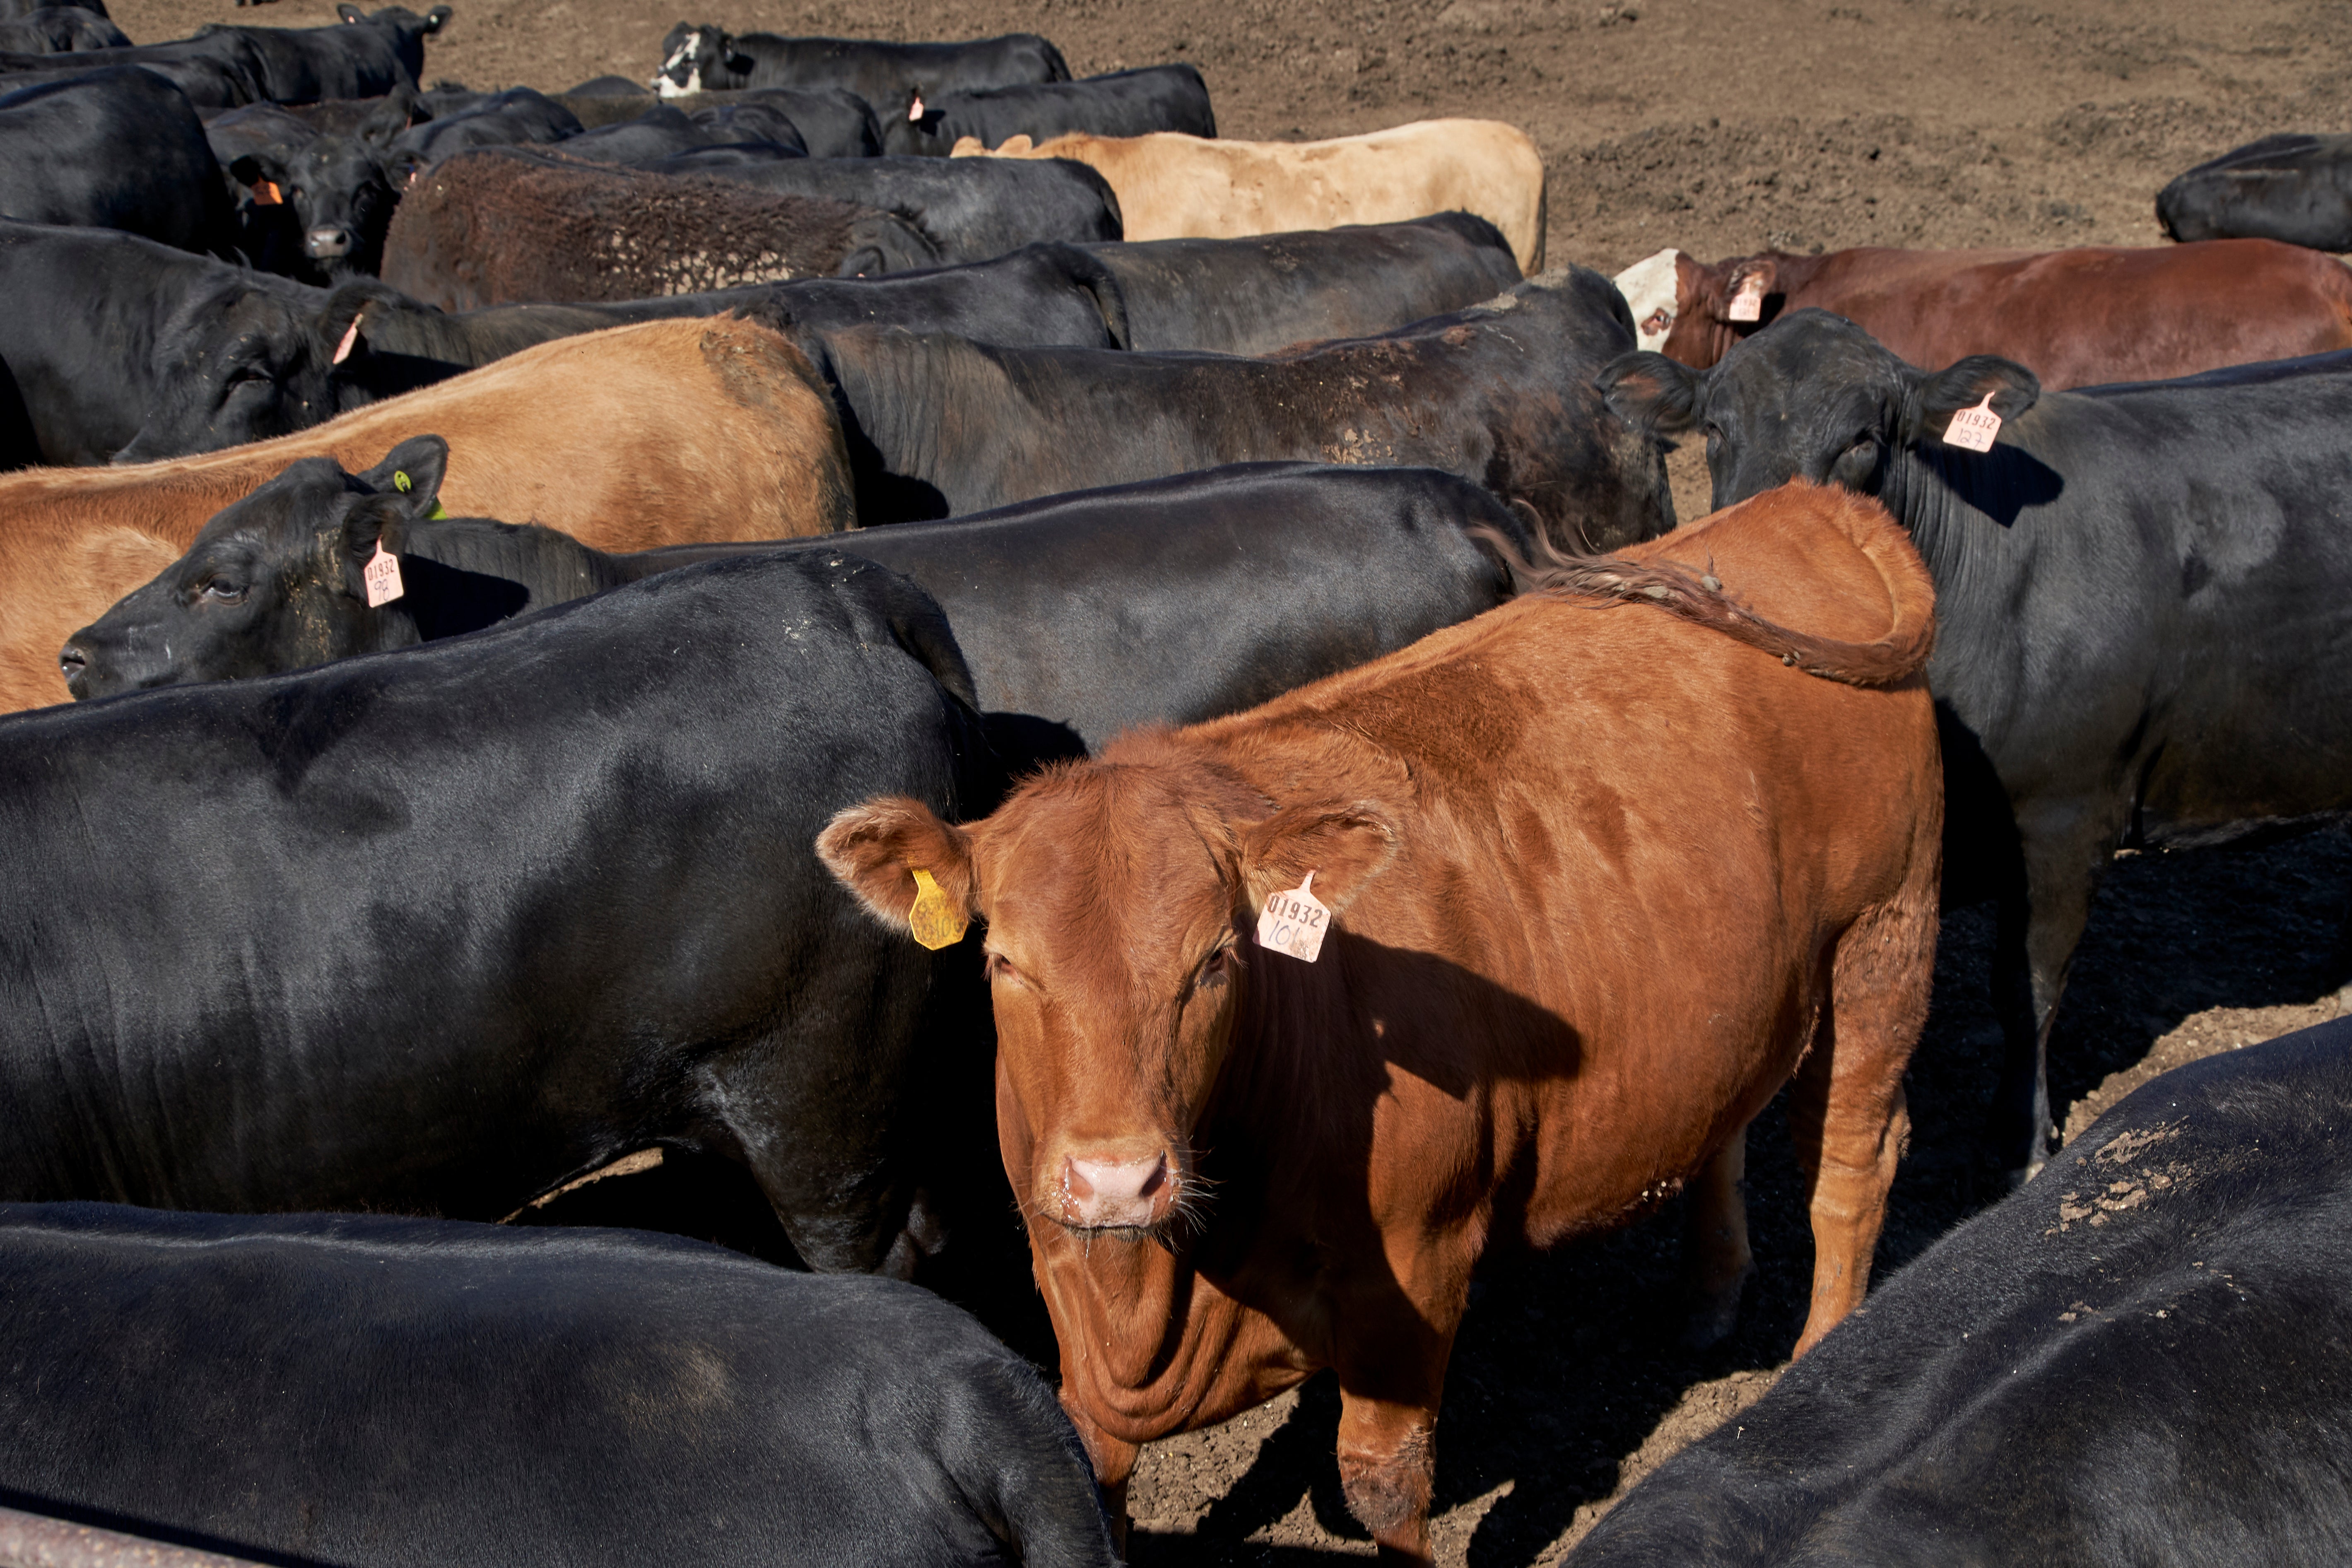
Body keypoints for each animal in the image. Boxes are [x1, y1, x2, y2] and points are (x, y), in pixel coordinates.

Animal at [816, 478, 1945, 1560]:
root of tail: (1804, 505)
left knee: (1851, 1161)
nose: (1114, 1178)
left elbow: (1384, 1485)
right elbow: (1091, 1466)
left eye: (1215, 959)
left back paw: (1820, 1357)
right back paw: (1707, 1301)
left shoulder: (1417, 1264)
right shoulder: (1066, 1286)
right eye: (1003, 960)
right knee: (1730, 1122)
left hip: (1883, 937)